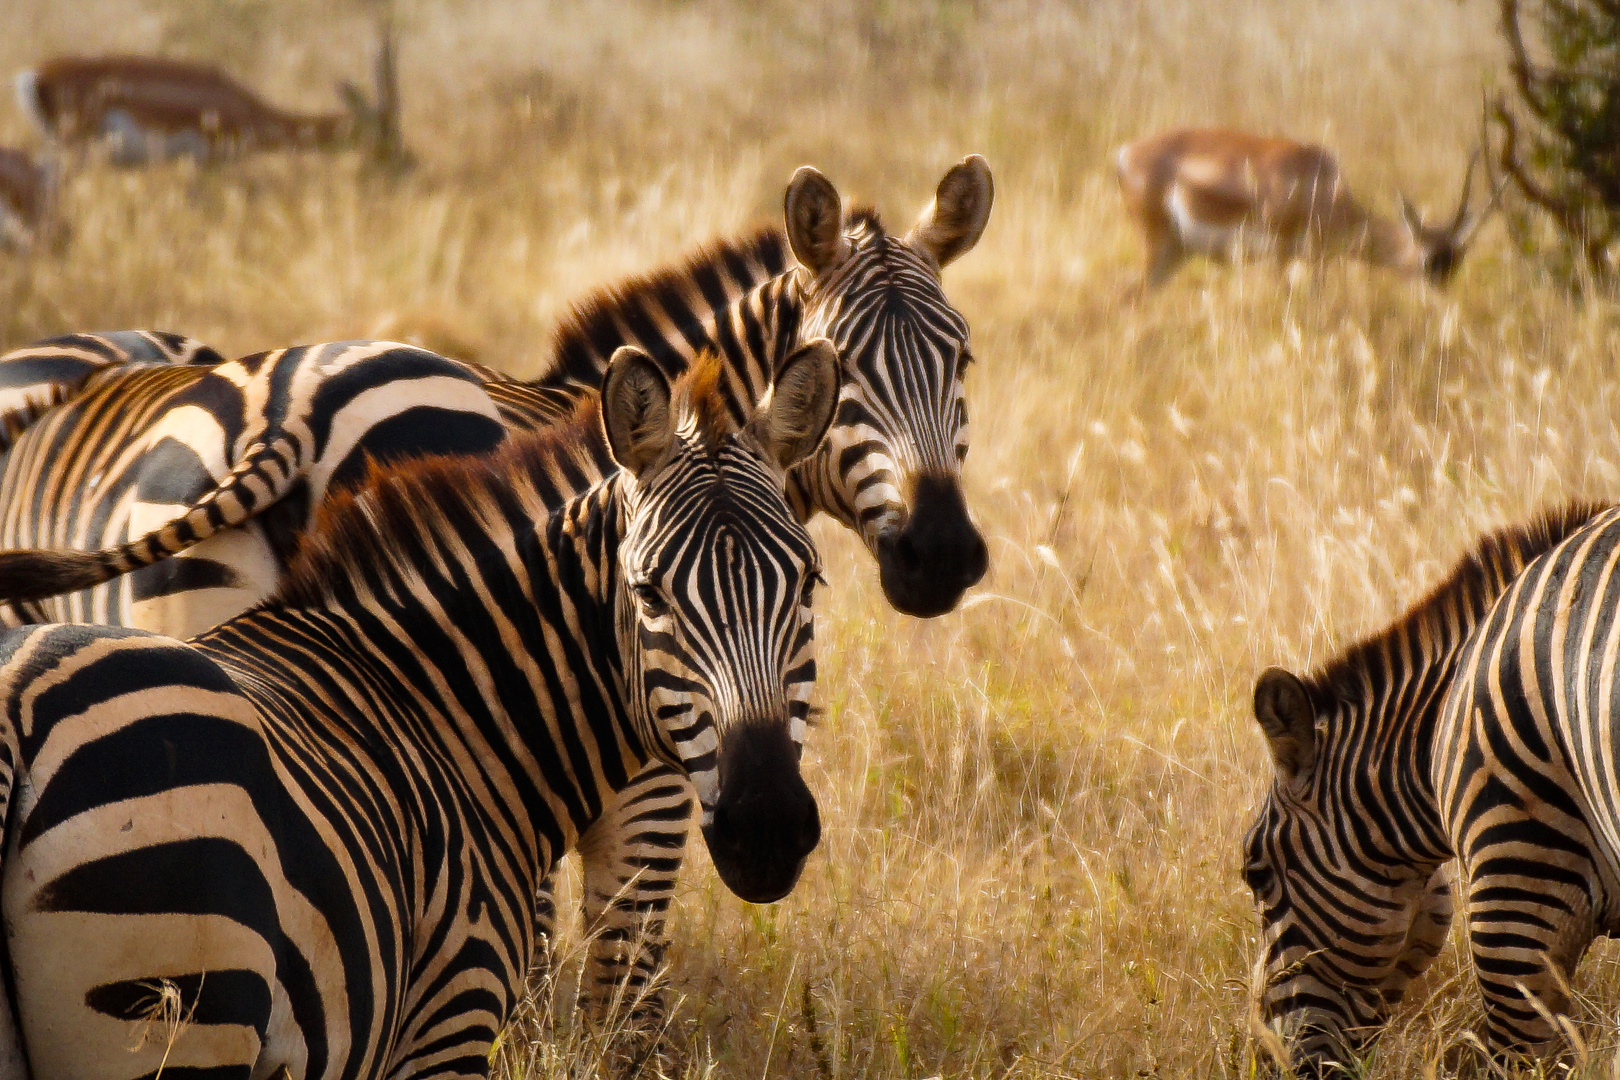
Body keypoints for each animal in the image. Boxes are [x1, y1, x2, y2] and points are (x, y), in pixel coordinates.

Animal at [1114, 129, 1503, 289]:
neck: (1318, 184)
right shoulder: (1280, 257)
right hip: (1158, 248)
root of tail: (1126, 152)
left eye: (1455, 262)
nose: (1439, 295)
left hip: (1175, 254)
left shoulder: (1316, 262)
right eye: (1428, 261)